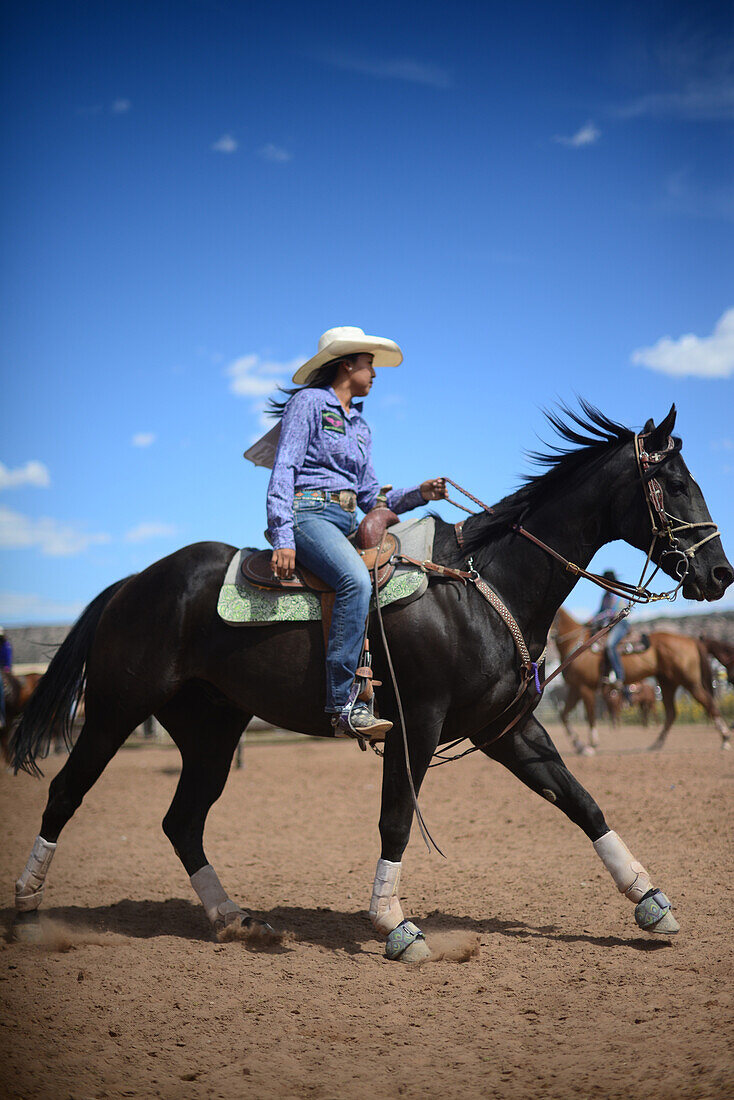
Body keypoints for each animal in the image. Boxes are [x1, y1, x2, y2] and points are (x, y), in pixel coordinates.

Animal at [550, 611, 730, 756]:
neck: (577, 645)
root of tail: (690, 640)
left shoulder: (585, 688)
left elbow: (591, 716)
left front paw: (591, 745)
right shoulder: (575, 688)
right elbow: (564, 715)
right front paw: (579, 745)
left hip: (689, 682)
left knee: (708, 703)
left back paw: (725, 738)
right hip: (667, 683)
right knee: (671, 713)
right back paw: (657, 743)